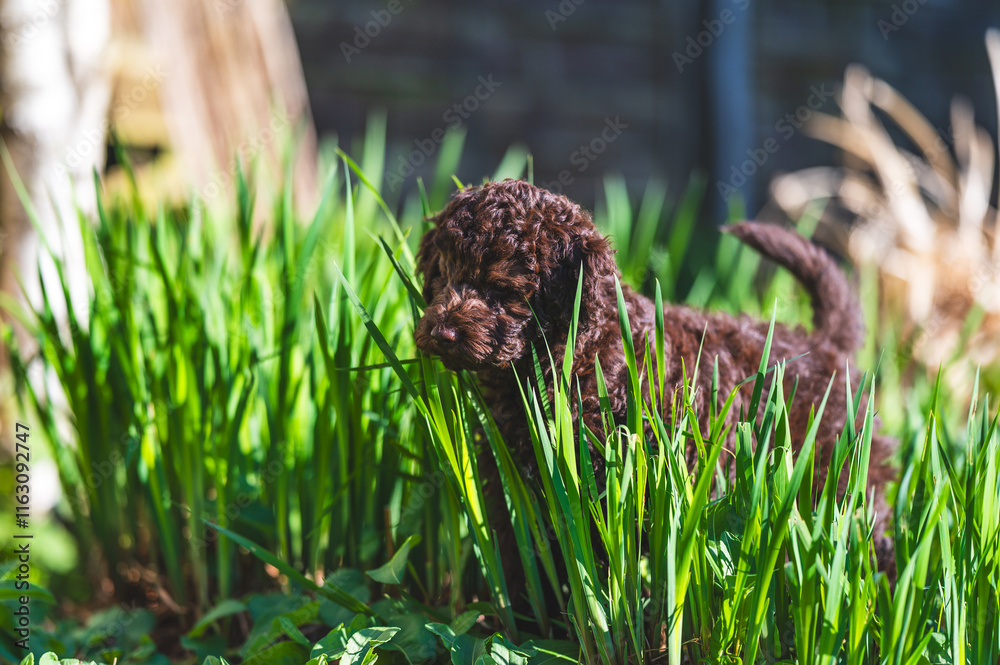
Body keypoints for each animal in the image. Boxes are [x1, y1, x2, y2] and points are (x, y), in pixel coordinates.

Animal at [414, 179, 895, 575]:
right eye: (445, 275)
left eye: (501, 288)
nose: (442, 332)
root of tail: (826, 344)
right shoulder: (511, 473)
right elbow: (522, 546)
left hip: (836, 469)